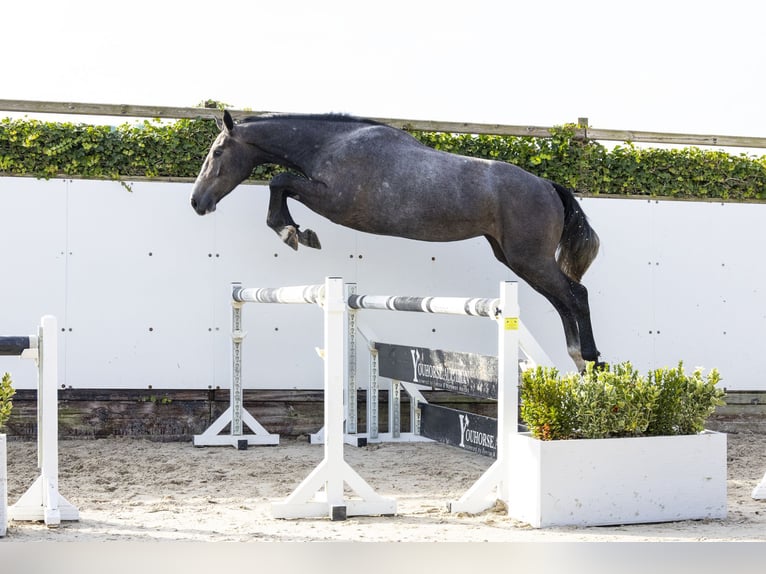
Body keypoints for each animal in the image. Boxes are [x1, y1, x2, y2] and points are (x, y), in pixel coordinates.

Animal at [190, 111, 600, 372]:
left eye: (217, 152)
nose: (197, 202)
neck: (333, 145)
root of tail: (547, 185)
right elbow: (282, 184)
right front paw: (295, 232)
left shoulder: (333, 201)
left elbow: (280, 182)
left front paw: (295, 234)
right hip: (517, 259)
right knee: (562, 300)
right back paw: (577, 358)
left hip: (529, 258)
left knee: (576, 294)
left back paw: (592, 359)